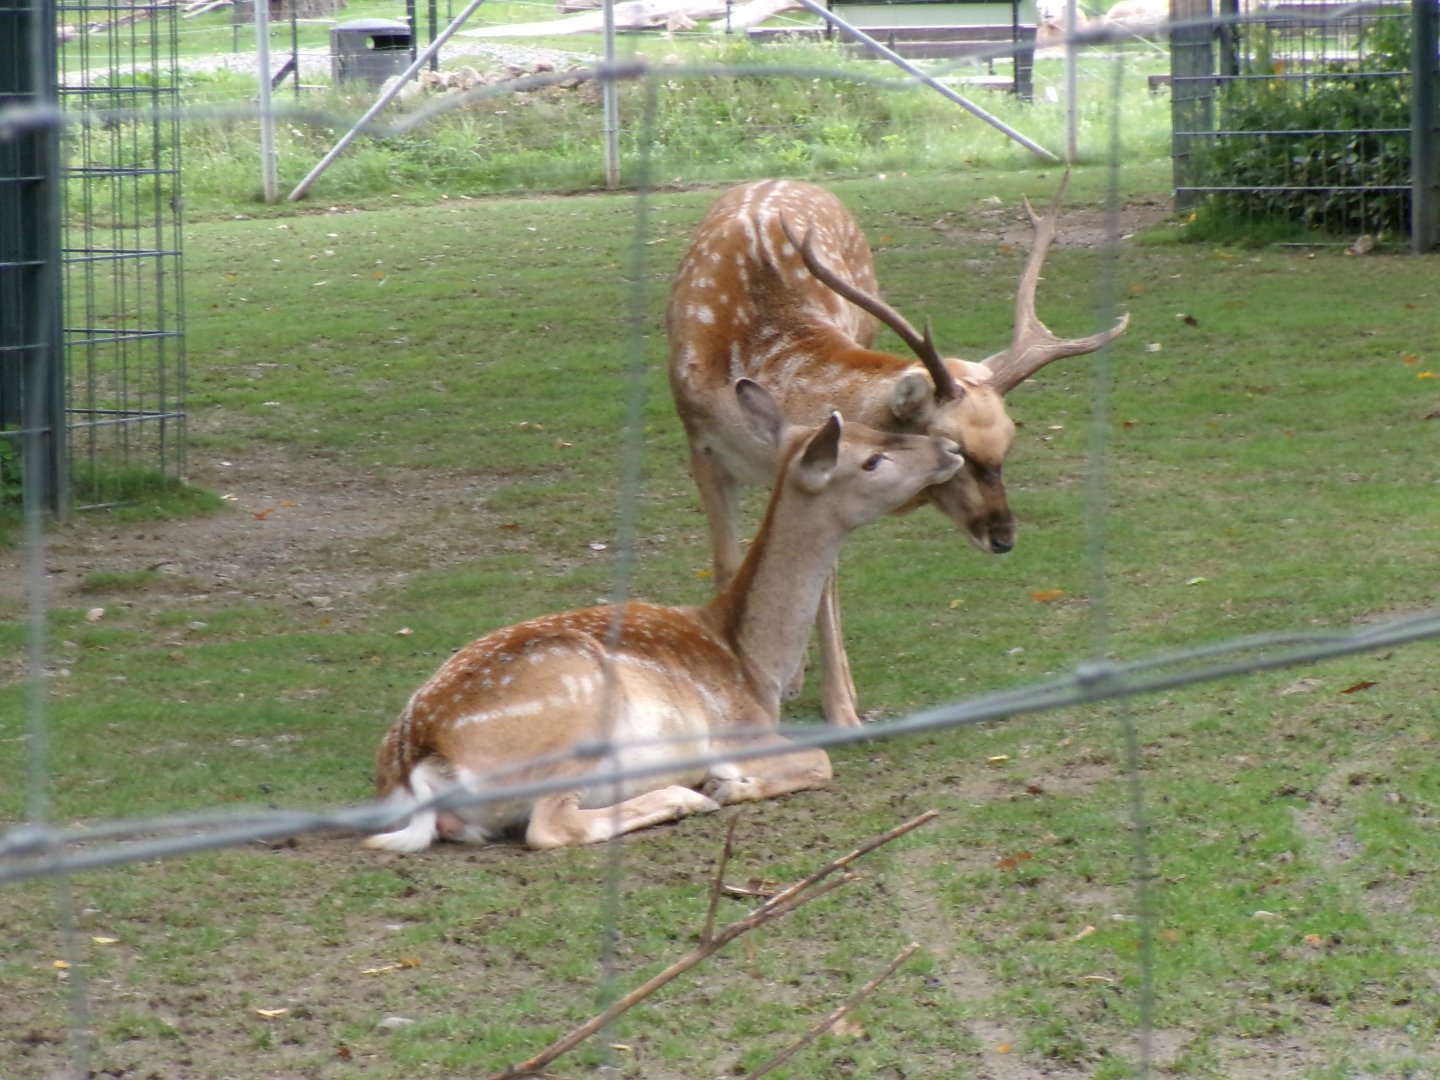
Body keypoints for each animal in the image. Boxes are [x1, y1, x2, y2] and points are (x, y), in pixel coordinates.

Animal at [365, 380, 963, 852]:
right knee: (551, 826)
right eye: (870, 459)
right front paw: (728, 785)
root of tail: (419, 763)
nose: (949, 447)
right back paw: (684, 795)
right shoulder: (739, 729)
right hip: (576, 726)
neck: (753, 665)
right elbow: (821, 758)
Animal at [667, 175, 1129, 730]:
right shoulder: (701, 445)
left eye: (1009, 442)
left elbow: (822, 580)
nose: (1004, 538)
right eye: (956, 449)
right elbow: (729, 564)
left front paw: (842, 708)